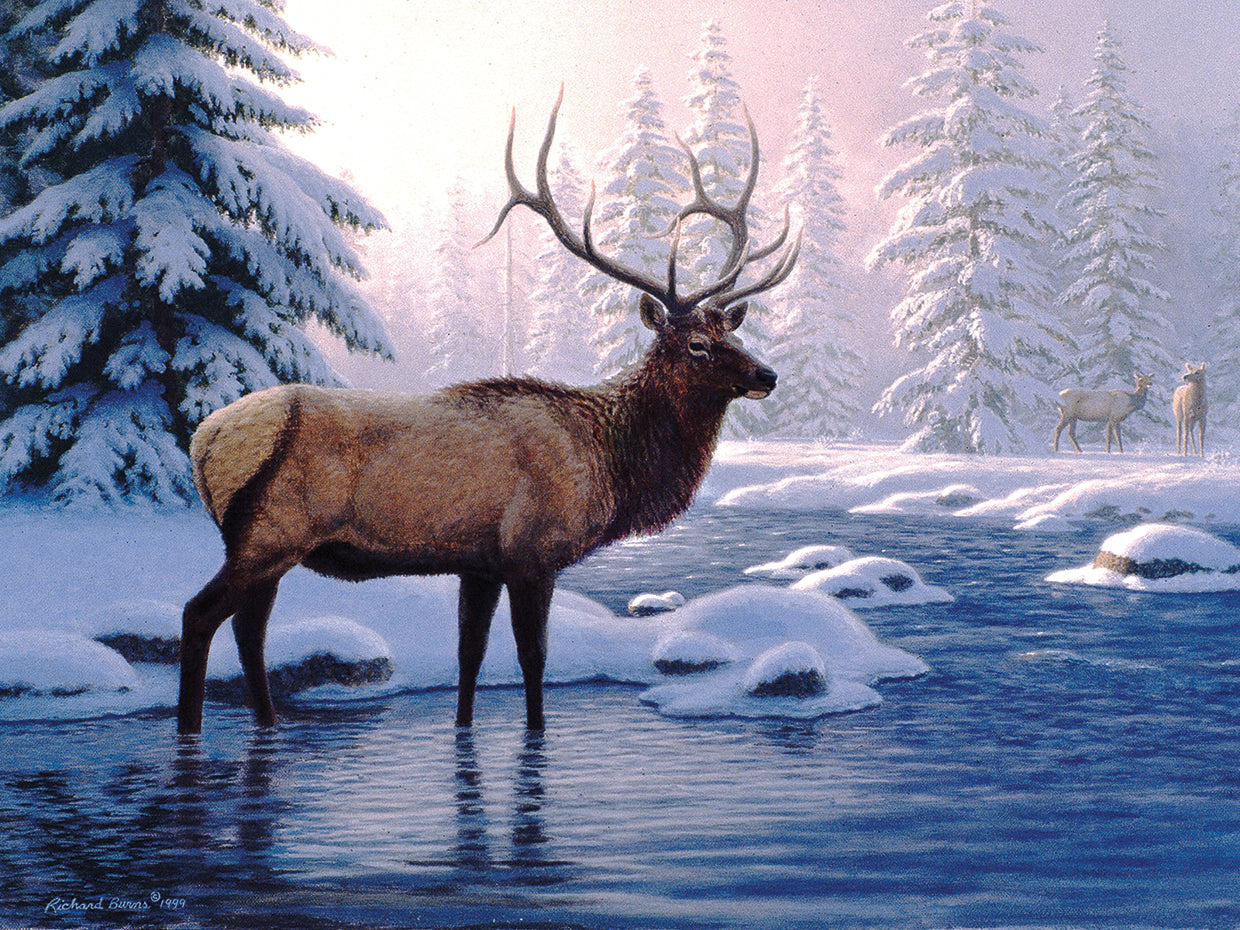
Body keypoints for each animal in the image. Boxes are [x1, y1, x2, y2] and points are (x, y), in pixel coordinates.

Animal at [175, 89, 800, 735]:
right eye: (697, 345)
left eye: (729, 333)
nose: (767, 375)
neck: (608, 464)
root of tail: (205, 439)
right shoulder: (534, 552)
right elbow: (533, 658)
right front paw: (536, 734)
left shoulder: (478, 563)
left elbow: (469, 656)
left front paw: (464, 730)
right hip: (271, 531)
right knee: (200, 615)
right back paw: (192, 729)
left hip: (264, 543)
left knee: (249, 629)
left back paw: (268, 725)